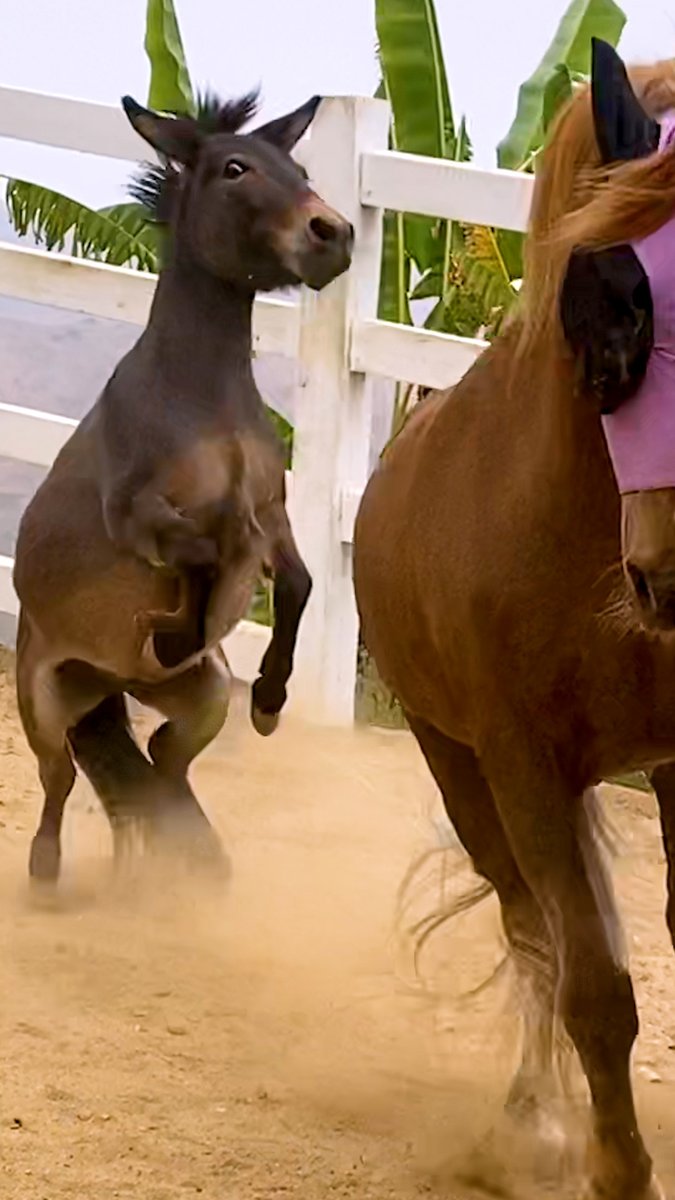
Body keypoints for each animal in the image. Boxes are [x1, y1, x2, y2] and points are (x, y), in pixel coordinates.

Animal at [13, 90, 353, 884]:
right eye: (235, 169)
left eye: (299, 170)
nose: (333, 234)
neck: (202, 400)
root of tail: (110, 683)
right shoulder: (137, 514)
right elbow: (196, 552)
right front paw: (173, 630)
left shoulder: (268, 513)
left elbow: (298, 584)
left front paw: (269, 699)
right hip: (43, 704)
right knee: (60, 780)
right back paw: (49, 871)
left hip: (199, 700)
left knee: (165, 758)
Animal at [354, 39, 675, 1200]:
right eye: (615, 295)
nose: (670, 570)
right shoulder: (523, 766)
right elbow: (589, 985)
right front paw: (614, 1165)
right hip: (466, 778)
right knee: (532, 932)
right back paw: (532, 1121)